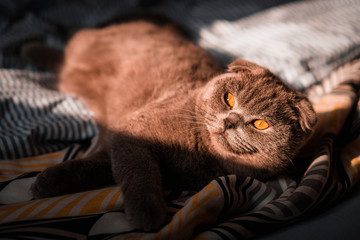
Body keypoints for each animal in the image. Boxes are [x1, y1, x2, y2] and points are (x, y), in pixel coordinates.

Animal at [30, 20, 318, 231]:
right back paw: (28, 49)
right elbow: (138, 172)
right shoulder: (133, 134)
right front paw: (147, 213)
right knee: (69, 47)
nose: (230, 121)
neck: (199, 154)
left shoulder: (120, 145)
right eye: (228, 99)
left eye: (260, 124)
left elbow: (101, 167)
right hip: (86, 50)